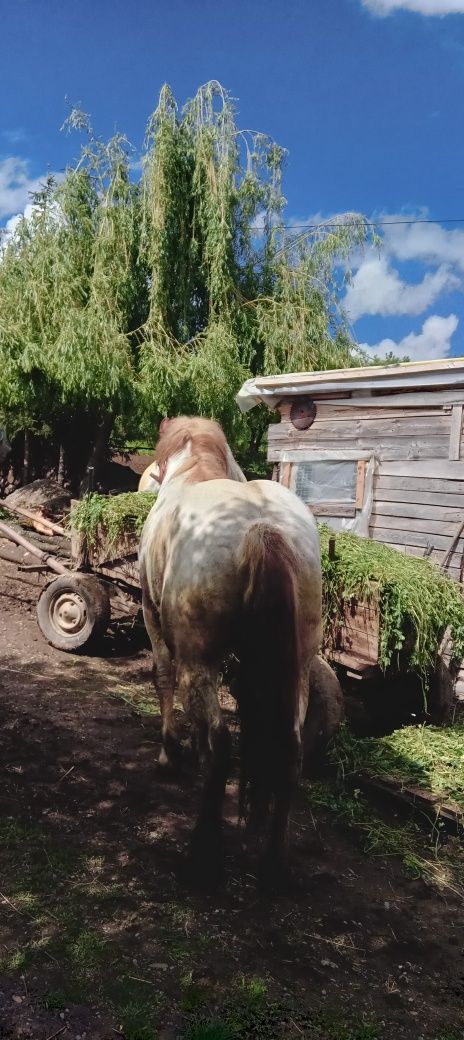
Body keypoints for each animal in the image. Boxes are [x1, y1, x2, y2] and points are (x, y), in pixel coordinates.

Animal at [137, 416, 320, 886]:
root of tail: (261, 528)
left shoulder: (152, 616)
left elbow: (163, 679)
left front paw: (169, 753)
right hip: (298, 668)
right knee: (290, 751)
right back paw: (274, 861)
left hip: (200, 660)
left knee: (221, 747)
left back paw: (203, 850)